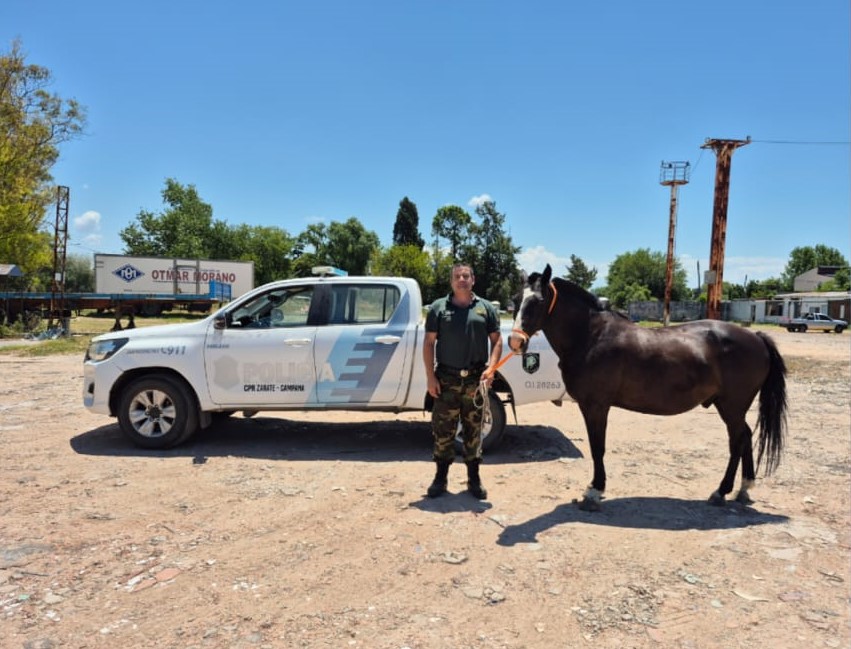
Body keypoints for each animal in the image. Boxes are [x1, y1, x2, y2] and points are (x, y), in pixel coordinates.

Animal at [508, 264, 788, 511]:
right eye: (516, 299)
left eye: (539, 301)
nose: (515, 341)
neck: (591, 336)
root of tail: (756, 337)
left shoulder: (595, 406)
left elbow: (597, 447)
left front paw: (594, 492)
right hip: (730, 407)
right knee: (746, 436)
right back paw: (743, 488)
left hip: (732, 406)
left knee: (737, 441)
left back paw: (721, 492)